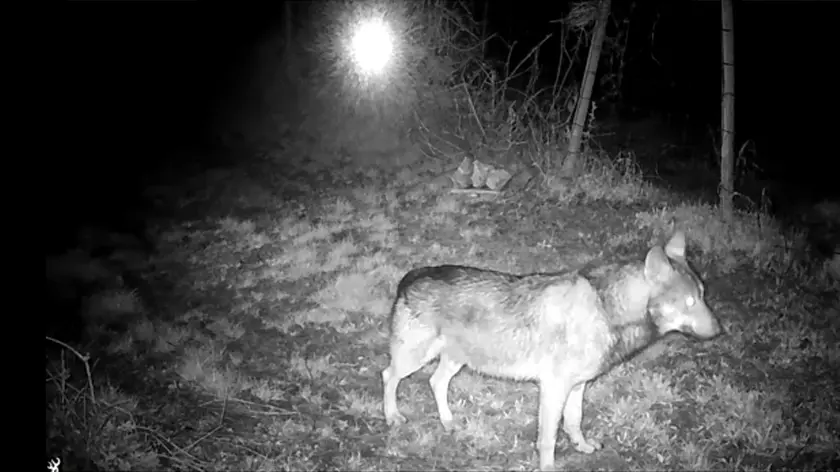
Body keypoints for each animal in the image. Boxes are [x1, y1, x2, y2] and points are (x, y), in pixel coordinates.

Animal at [381, 231, 722, 471]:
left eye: (703, 296)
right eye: (689, 302)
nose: (720, 330)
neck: (606, 307)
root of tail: (413, 274)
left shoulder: (578, 386)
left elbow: (574, 422)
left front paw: (583, 447)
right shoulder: (553, 388)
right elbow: (549, 438)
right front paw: (548, 466)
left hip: (455, 361)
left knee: (435, 382)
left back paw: (448, 421)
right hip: (416, 359)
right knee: (388, 376)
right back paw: (392, 416)